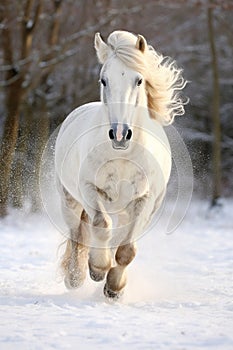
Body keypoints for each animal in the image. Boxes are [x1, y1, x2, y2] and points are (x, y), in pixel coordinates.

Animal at [55, 30, 187, 300]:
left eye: (139, 80)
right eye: (104, 80)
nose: (119, 134)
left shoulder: (145, 200)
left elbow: (126, 250)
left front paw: (114, 287)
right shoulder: (89, 189)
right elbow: (100, 226)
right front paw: (98, 269)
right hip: (70, 199)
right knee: (76, 234)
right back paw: (75, 277)